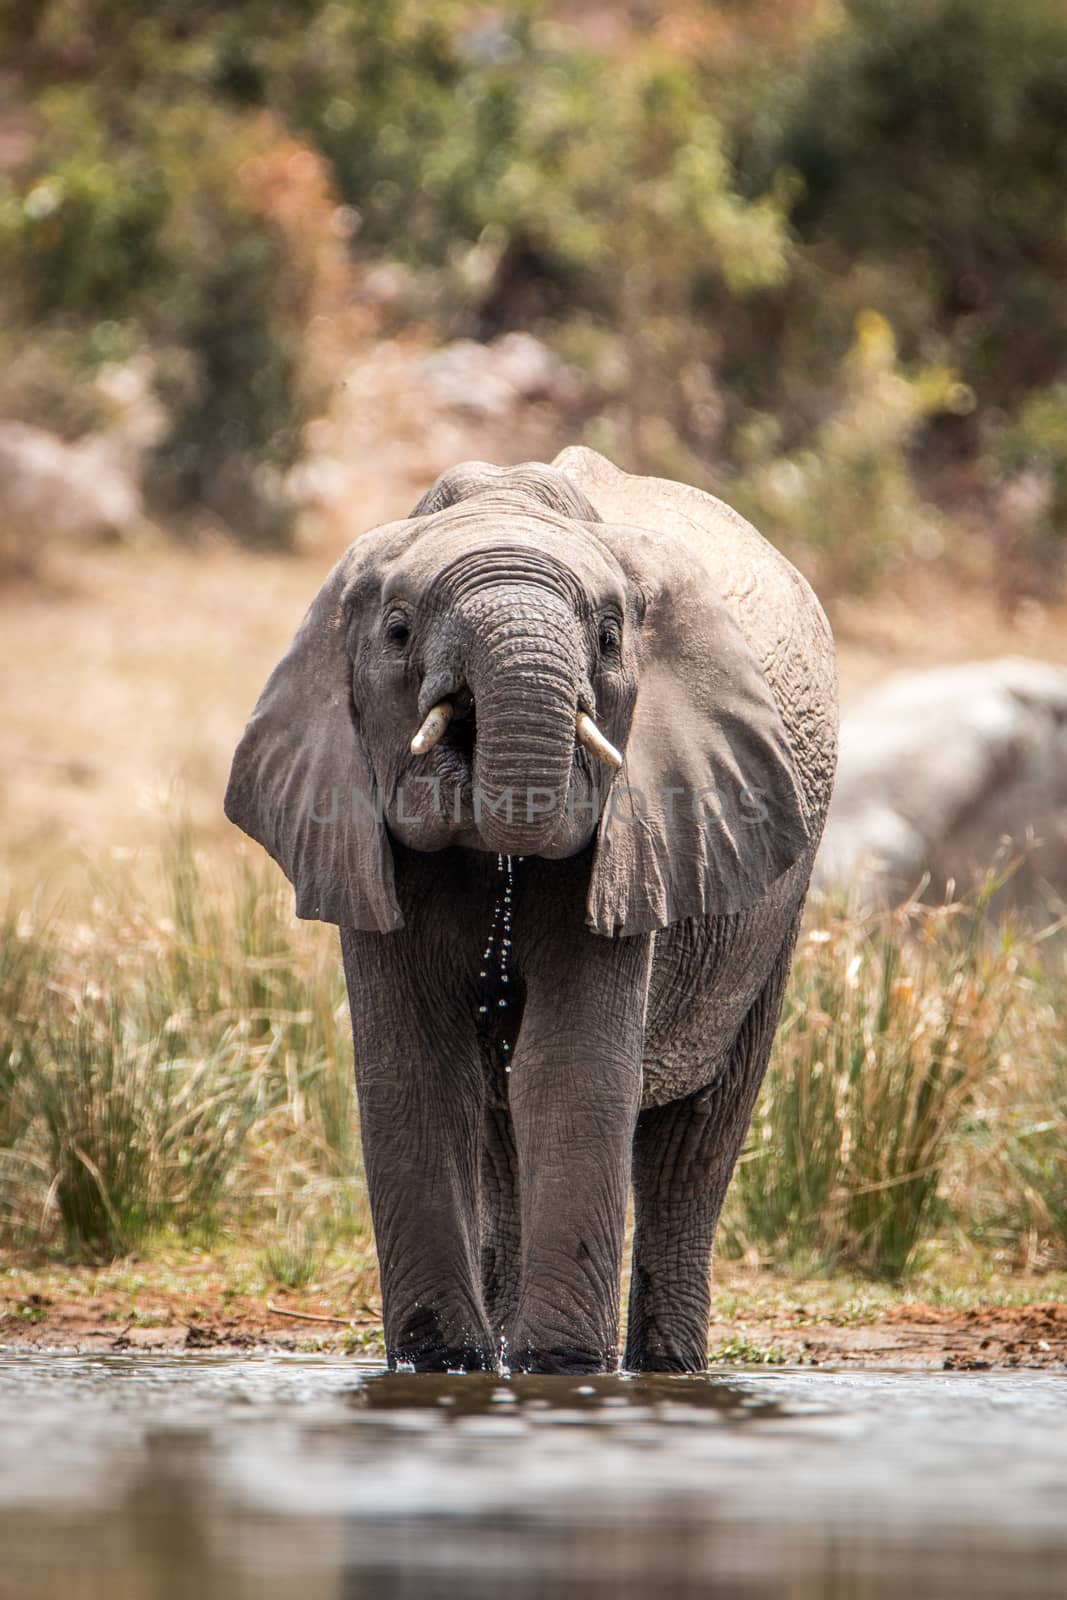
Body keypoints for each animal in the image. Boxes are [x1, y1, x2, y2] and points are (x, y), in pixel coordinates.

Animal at [227, 448, 844, 1376]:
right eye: (397, 630)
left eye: (610, 638)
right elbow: (414, 1073)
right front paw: (442, 1368)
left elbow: (572, 1069)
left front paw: (563, 1372)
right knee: (498, 1128)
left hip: (777, 904)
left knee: (694, 1142)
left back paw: (664, 1368)